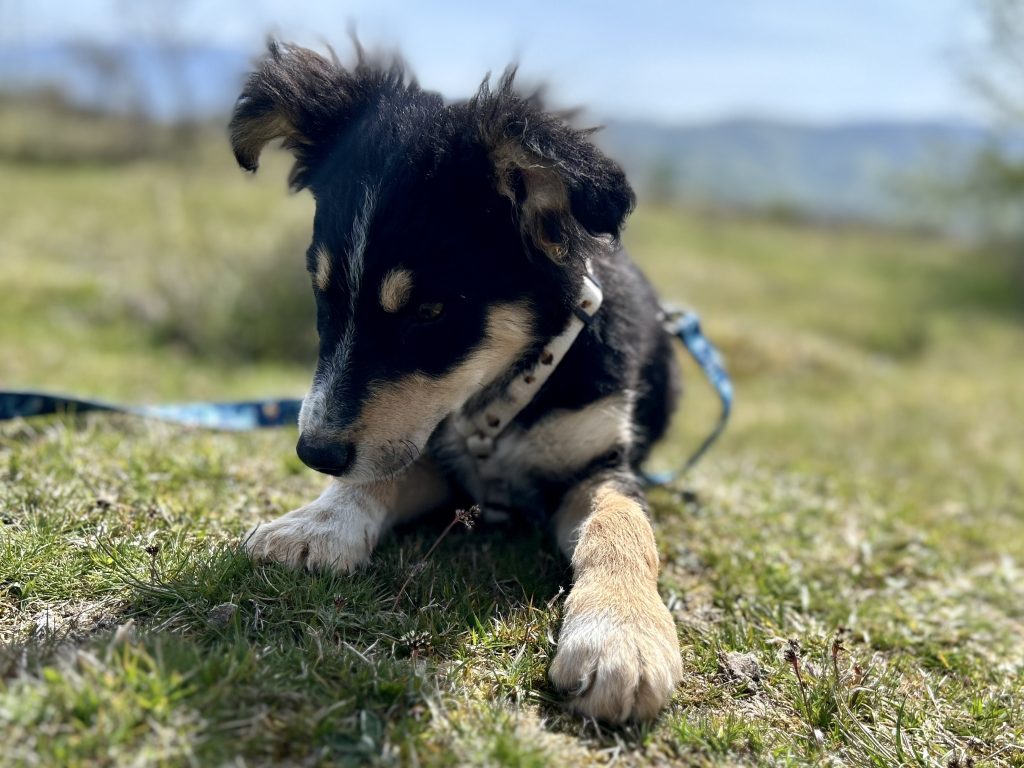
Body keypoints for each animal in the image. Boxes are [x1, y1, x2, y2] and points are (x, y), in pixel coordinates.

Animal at [231, 41, 683, 723]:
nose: (315, 453)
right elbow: (381, 475)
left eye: (430, 312)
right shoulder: (434, 452)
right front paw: (318, 524)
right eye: (322, 294)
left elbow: (623, 529)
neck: (499, 397)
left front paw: (622, 637)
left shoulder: (599, 464)